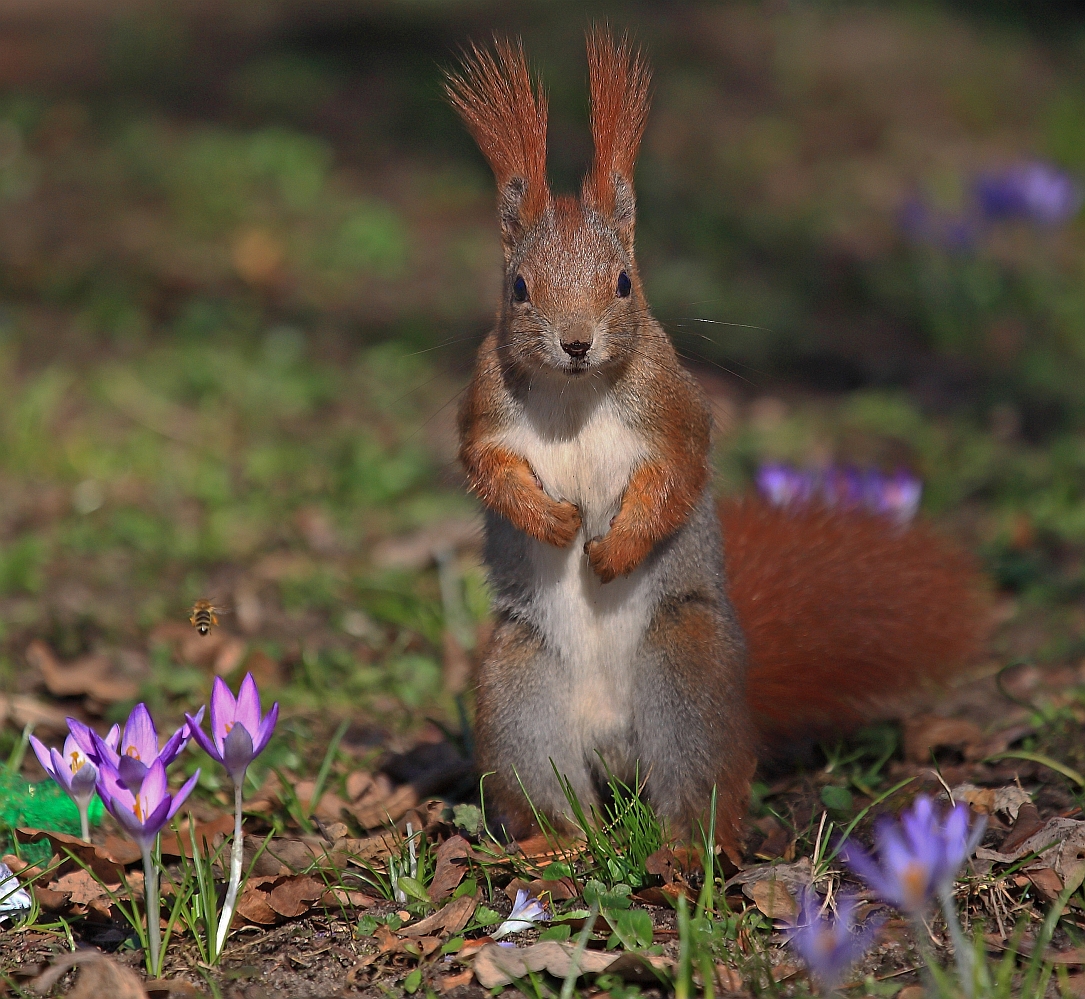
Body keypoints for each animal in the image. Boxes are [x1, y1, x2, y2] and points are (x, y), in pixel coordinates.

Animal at [444, 33, 989, 859]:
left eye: (624, 281)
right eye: (518, 287)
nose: (575, 342)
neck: (574, 395)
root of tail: (612, 741)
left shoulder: (674, 410)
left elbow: (675, 475)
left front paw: (611, 548)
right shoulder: (484, 406)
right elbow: (486, 466)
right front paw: (551, 520)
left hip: (685, 671)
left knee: (698, 788)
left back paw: (678, 850)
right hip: (518, 686)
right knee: (546, 784)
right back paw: (558, 842)